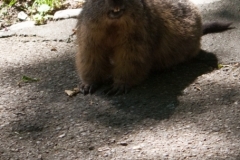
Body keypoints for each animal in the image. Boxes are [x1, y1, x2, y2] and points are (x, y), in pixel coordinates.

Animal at [75, 0, 232, 95]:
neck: (113, 26)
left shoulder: (139, 34)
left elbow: (131, 58)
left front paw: (119, 86)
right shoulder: (89, 33)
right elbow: (89, 55)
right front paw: (87, 84)